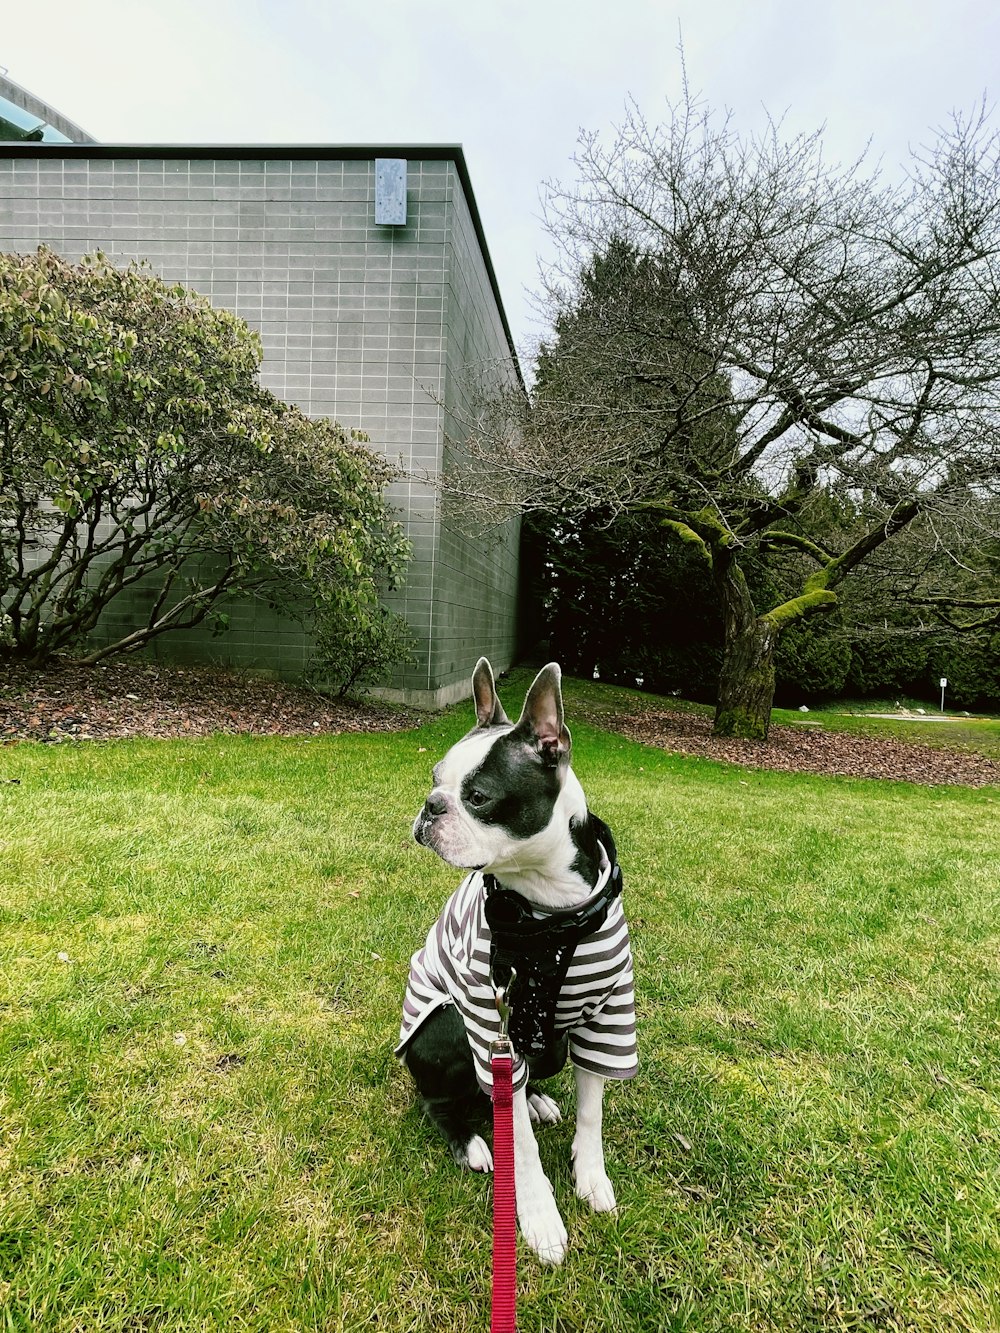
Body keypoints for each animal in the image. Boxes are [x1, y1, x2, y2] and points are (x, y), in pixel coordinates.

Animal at [397, 661, 637, 1263]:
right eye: (433, 777)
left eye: (479, 797)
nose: (431, 805)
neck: (547, 907)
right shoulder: (489, 1026)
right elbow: (522, 1152)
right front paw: (538, 1215)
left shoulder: (608, 1016)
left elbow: (592, 1111)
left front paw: (590, 1177)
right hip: (449, 1029)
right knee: (440, 1103)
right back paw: (472, 1142)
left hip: (546, 1044)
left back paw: (535, 1102)